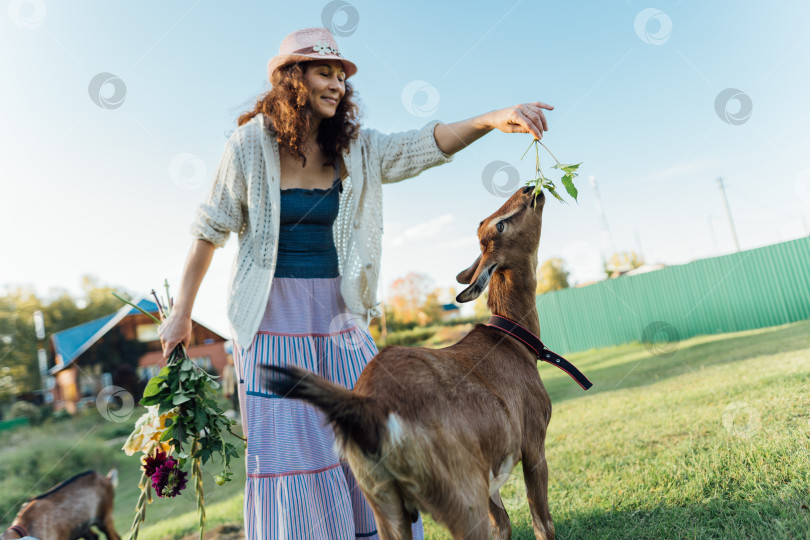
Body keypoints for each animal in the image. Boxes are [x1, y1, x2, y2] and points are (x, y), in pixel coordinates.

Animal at [266, 187, 556, 540]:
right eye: (498, 225)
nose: (530, 190)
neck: (513, 343)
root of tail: (369, 407)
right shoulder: (533, 442)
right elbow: (542, 523)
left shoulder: (491, 475)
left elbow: (503, 525)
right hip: (460, 493)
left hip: (383, 500)